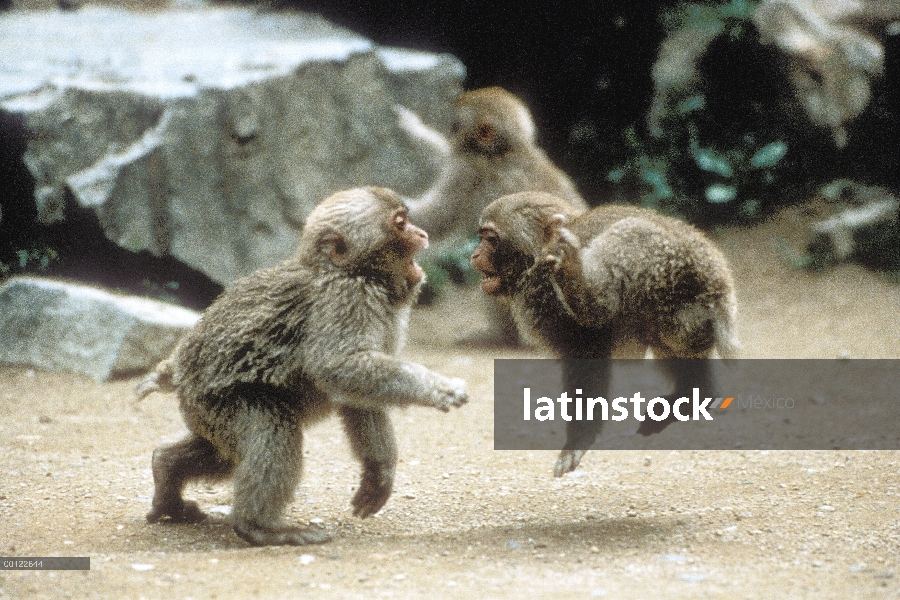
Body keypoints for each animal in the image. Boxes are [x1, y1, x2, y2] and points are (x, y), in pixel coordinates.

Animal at [139, 189, 472, 548]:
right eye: (400, 223)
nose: (421, 233)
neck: (358, 274)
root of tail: (178, 373)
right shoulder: (346, 299)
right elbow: (338, 367)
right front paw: (438, 389)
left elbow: (357, 395)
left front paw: (379, 471)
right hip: (218, 401)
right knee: (274, 430)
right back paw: (258, 526)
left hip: (207, 415)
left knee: (223, 454)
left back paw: (166, 472)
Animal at [398, 86, 588, 344]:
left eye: (455, 126)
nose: (451, 133)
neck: (507, 151)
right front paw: (415, 129)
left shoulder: (467, 172)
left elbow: (437, 217)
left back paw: (500, 336)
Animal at [472, 191, 740, 474]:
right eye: (482, 237)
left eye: (490, 238)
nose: (475, 254)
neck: (537, 261)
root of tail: (718, 286)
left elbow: (587, 356)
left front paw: (579, 439)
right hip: (684, 319)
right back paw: (692, 397)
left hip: (666, 264)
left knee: (630, 233)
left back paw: (581, 288)